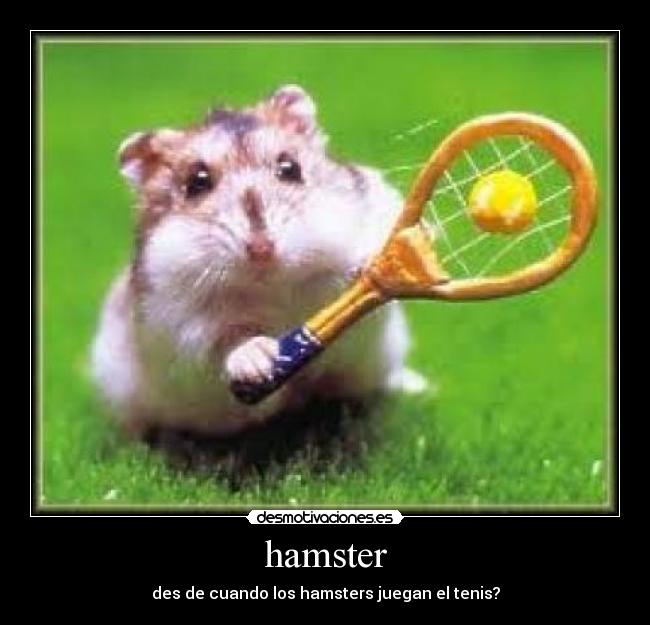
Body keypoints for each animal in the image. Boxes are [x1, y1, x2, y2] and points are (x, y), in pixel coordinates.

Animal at [91, 85, 426, 437]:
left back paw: (420, 387)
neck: (273, 285)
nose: (262, 249)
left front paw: (376, 262)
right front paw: (260, 358)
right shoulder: (181, 330)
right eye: (197, 182)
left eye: (290, 168)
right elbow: (228, 341)